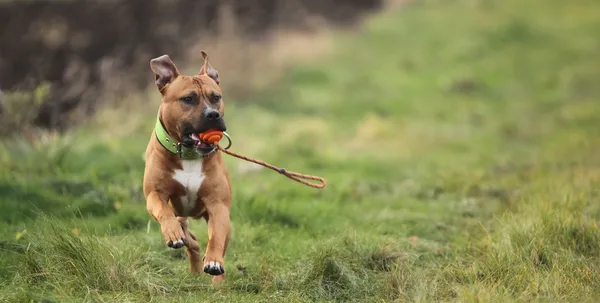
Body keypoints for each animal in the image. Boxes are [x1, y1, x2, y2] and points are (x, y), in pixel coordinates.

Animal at [143, 52, 232, 284]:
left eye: (216, 97)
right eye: (188, 99)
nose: (213, 115)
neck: (190, 153)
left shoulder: (218, 205)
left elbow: (216, 237)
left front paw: (213, 262)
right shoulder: (155, 194)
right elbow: (164, 211)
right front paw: (173, 234)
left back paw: (216, 279)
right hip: (181, 215)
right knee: (190, 240)